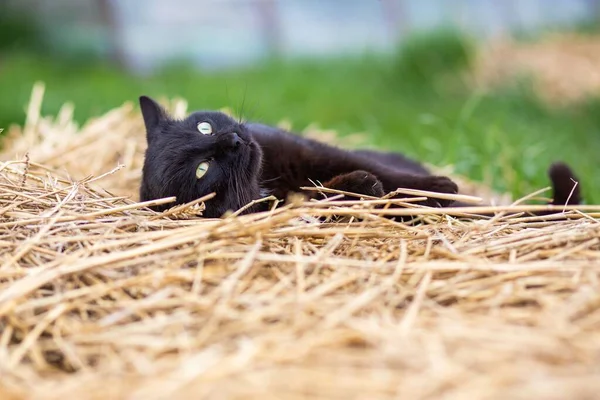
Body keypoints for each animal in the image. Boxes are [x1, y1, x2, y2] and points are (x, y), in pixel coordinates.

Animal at [138, 95, 580, 217]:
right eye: (202, 170)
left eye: (204, 127)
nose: (232, 140)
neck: (270, 176)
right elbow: (331, 195)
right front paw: (361, 187)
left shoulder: (314, 152)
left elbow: (375, 169)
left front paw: (439, 186)